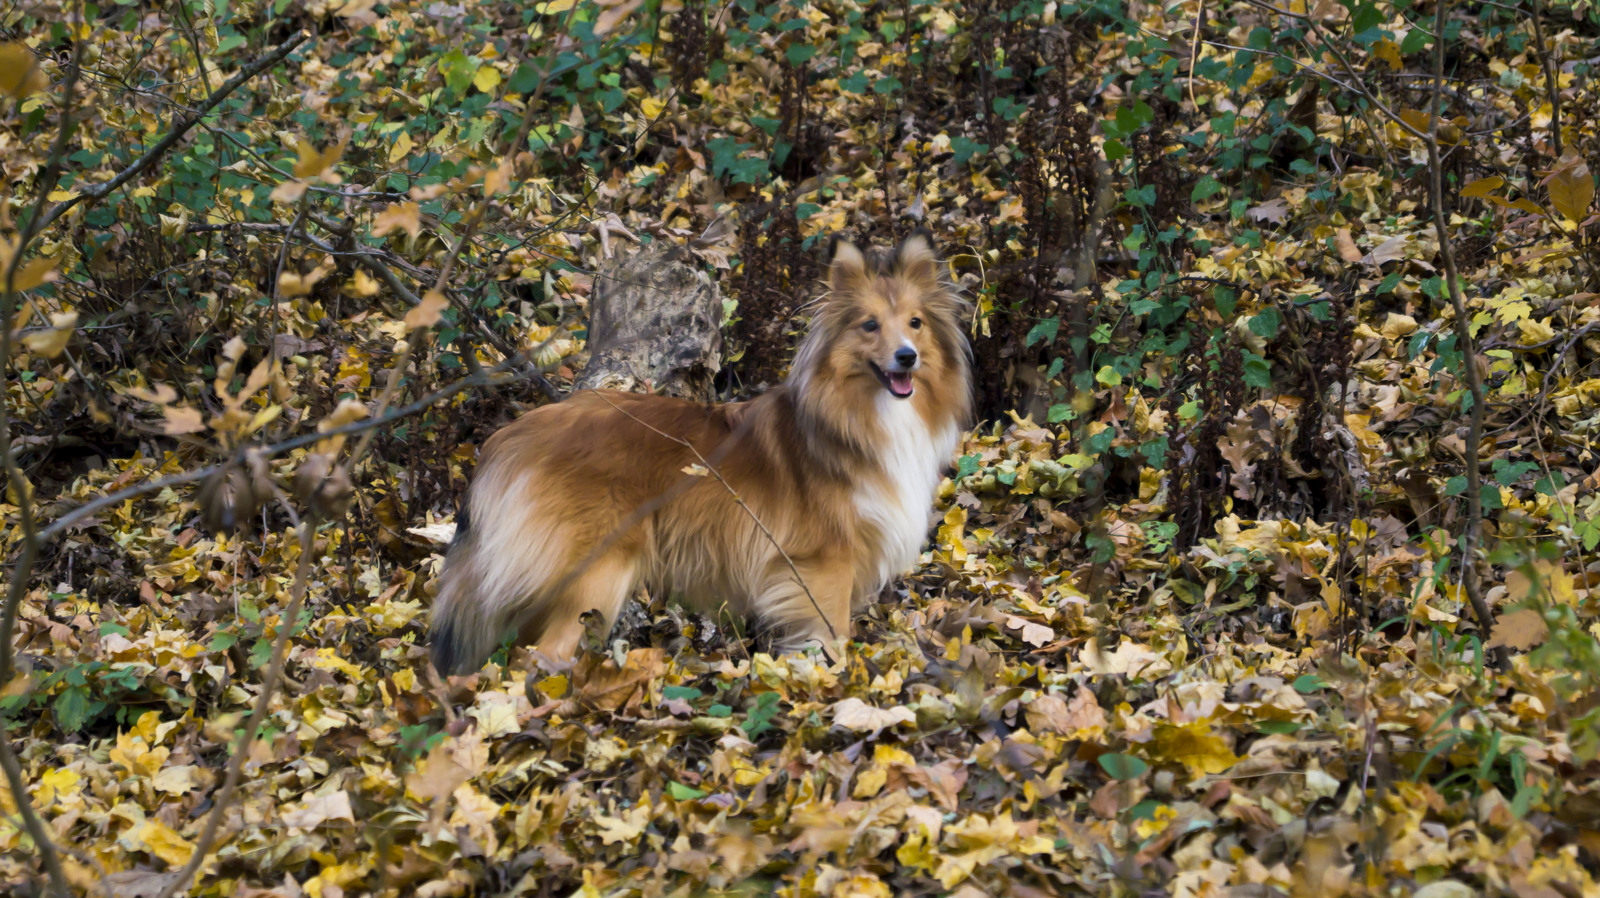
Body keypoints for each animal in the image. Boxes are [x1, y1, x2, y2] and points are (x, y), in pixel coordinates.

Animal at [428, 232, 972, 672]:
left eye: (916, 323)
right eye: (869, 325)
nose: (907, 357)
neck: (858, 415)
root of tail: (512, 434)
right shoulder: (822, 565)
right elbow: (832, 637)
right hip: (596, 574)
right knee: (540, 655)